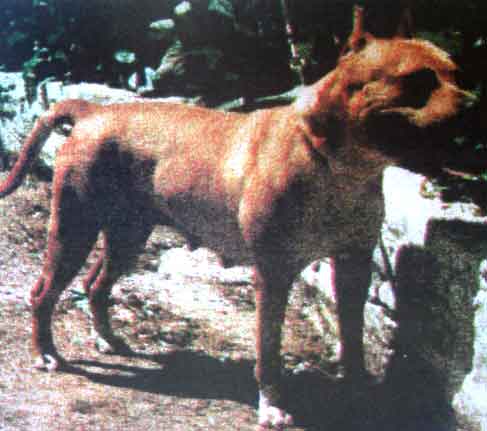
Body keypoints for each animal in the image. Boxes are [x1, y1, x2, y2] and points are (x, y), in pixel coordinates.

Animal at [0, 8, 474, 430]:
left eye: (458, 75)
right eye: (417, 80)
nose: (473, 107)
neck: (333, 162)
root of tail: (93, 111)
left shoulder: (353, 265)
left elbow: (353, 339)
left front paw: (356, 392)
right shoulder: (274, 273)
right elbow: (269, 350)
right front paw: (273, 406)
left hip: (128, 233)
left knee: (96, 284)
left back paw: (108, 338)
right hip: (73, 230)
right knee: (42, 293)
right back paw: (46, 353)